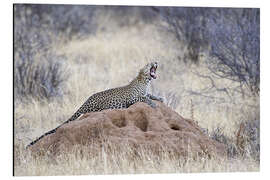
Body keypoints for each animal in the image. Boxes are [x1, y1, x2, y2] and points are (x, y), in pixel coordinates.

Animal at [26, 61, 162, 147]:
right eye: (148, 64)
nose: (155, 61)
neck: (145, 81)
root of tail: (87, 100)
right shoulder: (132, 99)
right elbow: (145, 98)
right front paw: (154, 104)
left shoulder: (145, 93)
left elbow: (150, 95)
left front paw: (160, 98)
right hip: (100, 105)